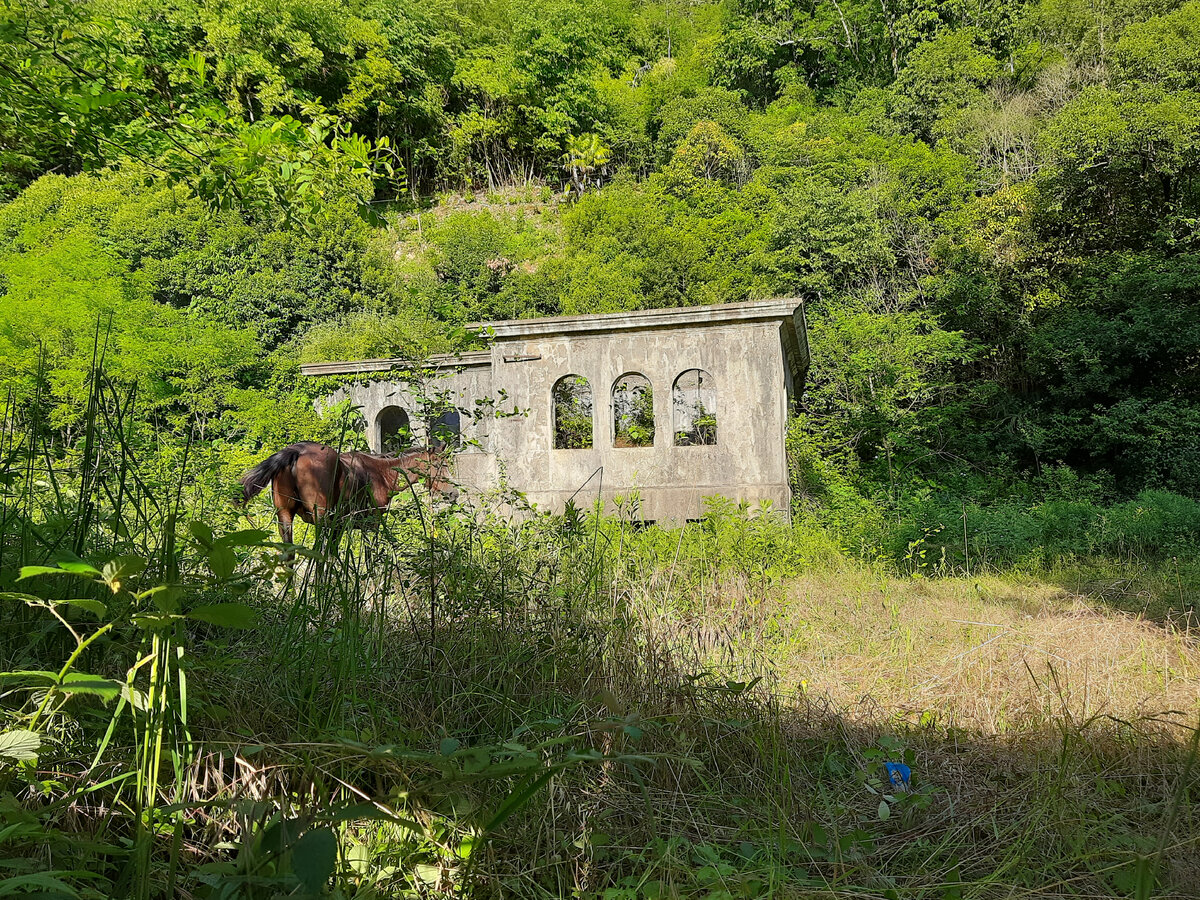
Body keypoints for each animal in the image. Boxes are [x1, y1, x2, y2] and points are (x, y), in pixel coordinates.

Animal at [237, 441, 453, 547]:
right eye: (440, 465)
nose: (453, 493)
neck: (381, 473)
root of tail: (296, 452)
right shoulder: (371, 526)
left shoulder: (339, 527)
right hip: (320, 519)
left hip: (285, 517)